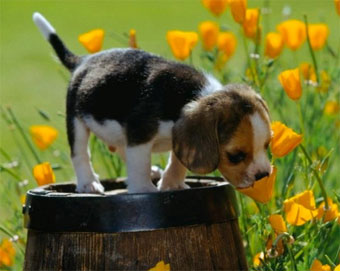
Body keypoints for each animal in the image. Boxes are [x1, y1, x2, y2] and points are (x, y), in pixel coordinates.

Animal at [33, 13, 272, 193]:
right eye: (235, 156)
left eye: (267, 145)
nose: (263, 176)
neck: (194, 95)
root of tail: (83, 61)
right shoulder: (140, 134)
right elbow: (139, 164)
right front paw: (144, 189)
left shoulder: (178, 137)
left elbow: (177, 161)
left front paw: (172, 183)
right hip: (76, 120)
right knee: (80, 153)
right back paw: (88, 183)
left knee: (121, 148)